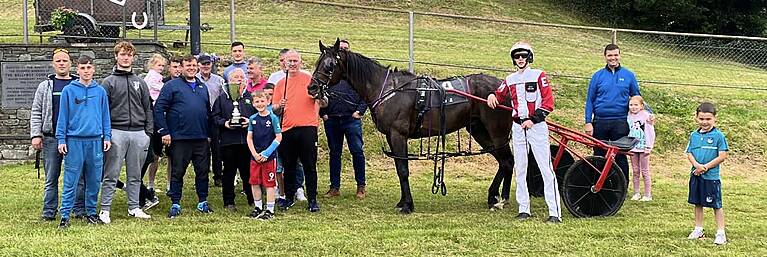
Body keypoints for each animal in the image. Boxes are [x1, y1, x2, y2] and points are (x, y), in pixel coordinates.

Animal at [308, 39, 516, 213]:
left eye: (329, 65)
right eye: (318, 61)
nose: (312, 88)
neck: (389, 89)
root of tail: (503, 86)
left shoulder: (398, 135)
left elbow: (403, 170)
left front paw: (407, 205)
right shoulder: (392, 137)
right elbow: (399, 169)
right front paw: (403, 201)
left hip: (497, 133)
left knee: (507, 161)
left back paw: (502, 200)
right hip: (481, 132)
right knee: (502, 162)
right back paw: (493, 196)